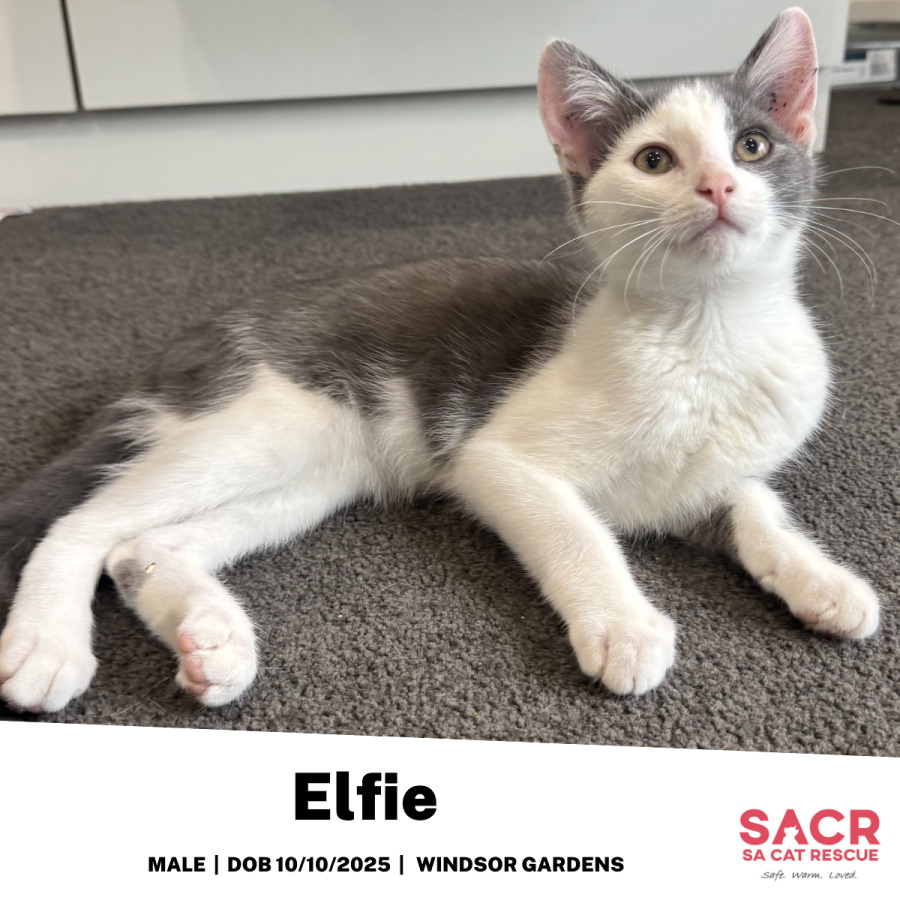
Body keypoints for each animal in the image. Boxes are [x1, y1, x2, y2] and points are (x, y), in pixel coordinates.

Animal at [0, 7, 879, 713]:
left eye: (754, 146)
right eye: (655, 160)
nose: (719, 186)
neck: (707, 330)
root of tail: (189, 343)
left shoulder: (709, 474)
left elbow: (755, 507)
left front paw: (824, 581)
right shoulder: (491, 456)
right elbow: (578, 532)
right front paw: (625, 626)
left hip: (321, 470)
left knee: (142, 547)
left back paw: (211, 641)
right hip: (266, 418)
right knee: (83, 524)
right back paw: (49, 644)